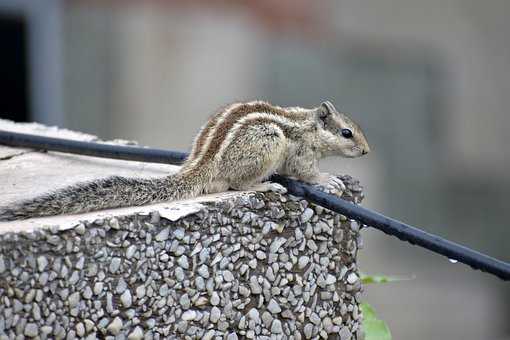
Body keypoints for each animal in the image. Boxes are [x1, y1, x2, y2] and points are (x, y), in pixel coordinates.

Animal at [0, 99, 368, 222]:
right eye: (347, 132)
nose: (366, 152)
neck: (308, 125)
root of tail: (200, 165)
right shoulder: (300, 152)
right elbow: (305, 172)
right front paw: (328, 179)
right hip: (267, 140)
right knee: (237, 183)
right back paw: (266, 186)